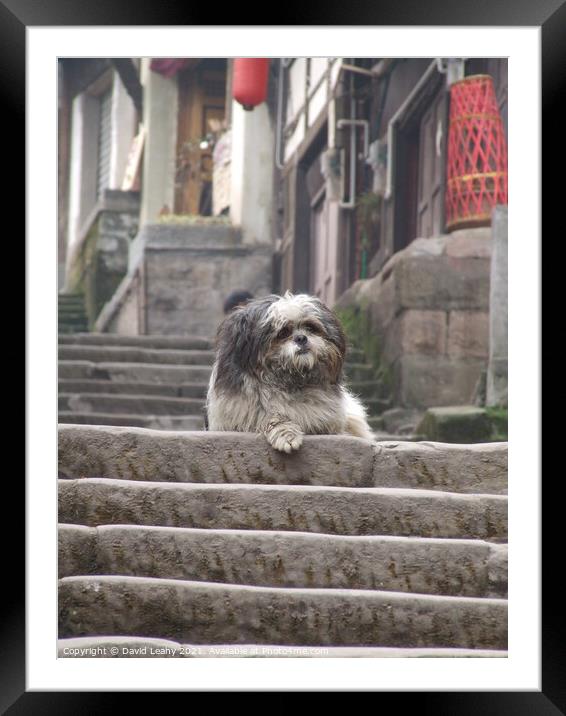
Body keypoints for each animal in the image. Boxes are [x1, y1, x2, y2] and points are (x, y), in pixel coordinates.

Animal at [206, 288, 374, 450]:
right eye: (283, 333)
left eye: (310, 327)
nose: (301, 338)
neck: (291, 379)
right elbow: (272, 417)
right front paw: (287, 435)